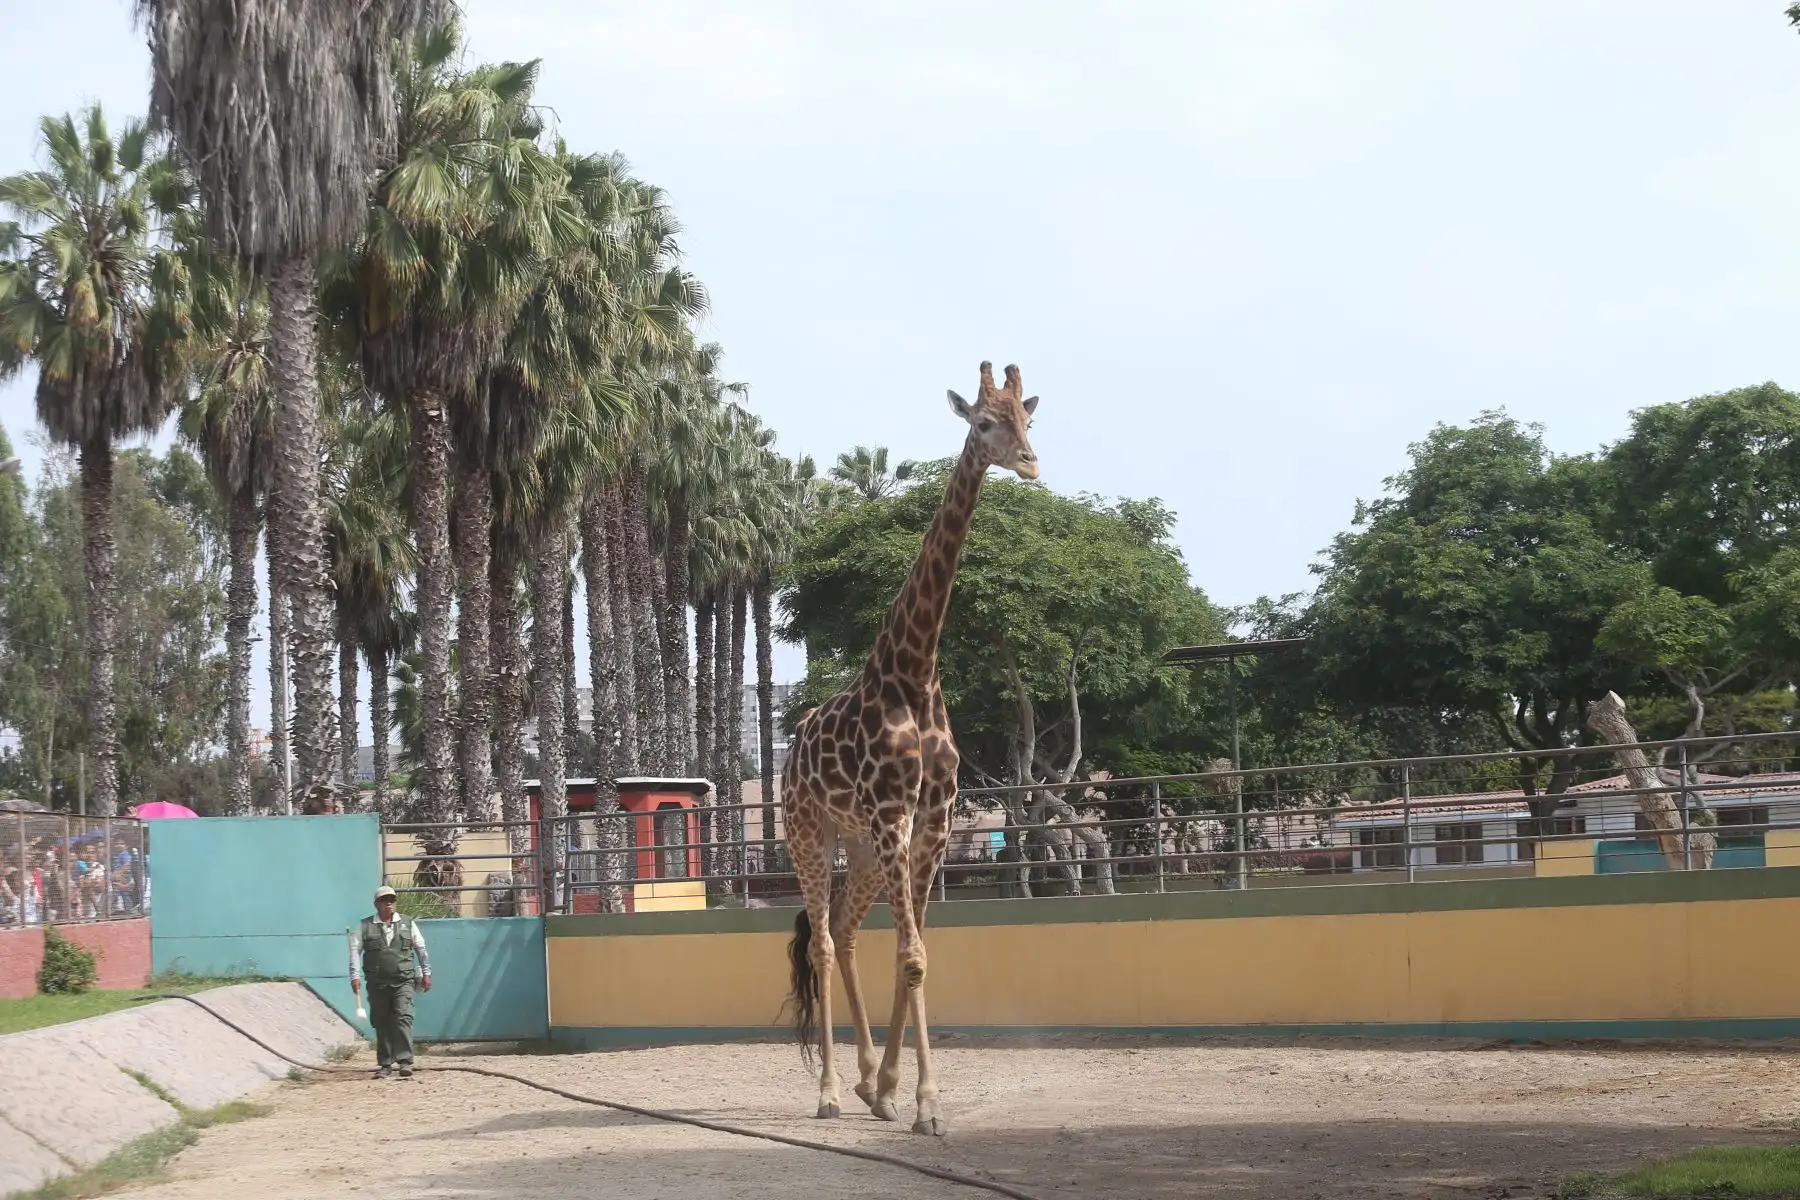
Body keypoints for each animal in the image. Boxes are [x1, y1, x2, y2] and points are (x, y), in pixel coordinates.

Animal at [780, 360, 1040, 1137]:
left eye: (1029, 419)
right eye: (983, 422)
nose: (1030, 464)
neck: (915, 670)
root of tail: (788, 755)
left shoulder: (932, 818)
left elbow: (916, 952)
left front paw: (899, 1088)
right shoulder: (896, 815)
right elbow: (913, 953)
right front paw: (924, 1102)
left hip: (862, 847)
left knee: (843, 929)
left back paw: (869, 1083)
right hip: (809, 832)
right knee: (823, 941)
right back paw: (832, 1092)